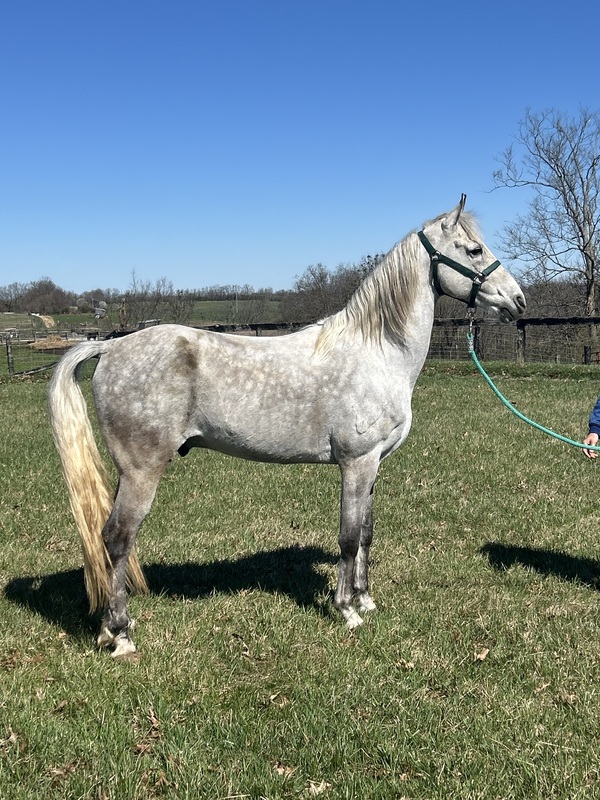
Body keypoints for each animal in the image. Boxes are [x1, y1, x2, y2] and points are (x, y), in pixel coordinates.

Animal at [48, 195, 526, 658]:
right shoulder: (355, 464)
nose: (519, 300)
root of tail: (111, 347)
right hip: (142, 473)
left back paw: (107, 630)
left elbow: (367, 533)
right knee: (116, 539)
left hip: (127, 473)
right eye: (474, 249)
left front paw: (366, 598)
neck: (377, 351)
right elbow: (348, 537)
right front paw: (347, 610)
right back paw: (121, 636)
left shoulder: (374, 465)